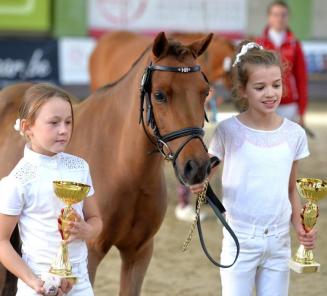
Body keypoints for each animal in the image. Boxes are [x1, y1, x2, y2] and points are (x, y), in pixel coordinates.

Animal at [0, 32, 213, 296]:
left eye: (204, 92)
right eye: (159, 95)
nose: (198, 167)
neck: (124, 167)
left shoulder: (139, 252)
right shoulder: (91, 252)